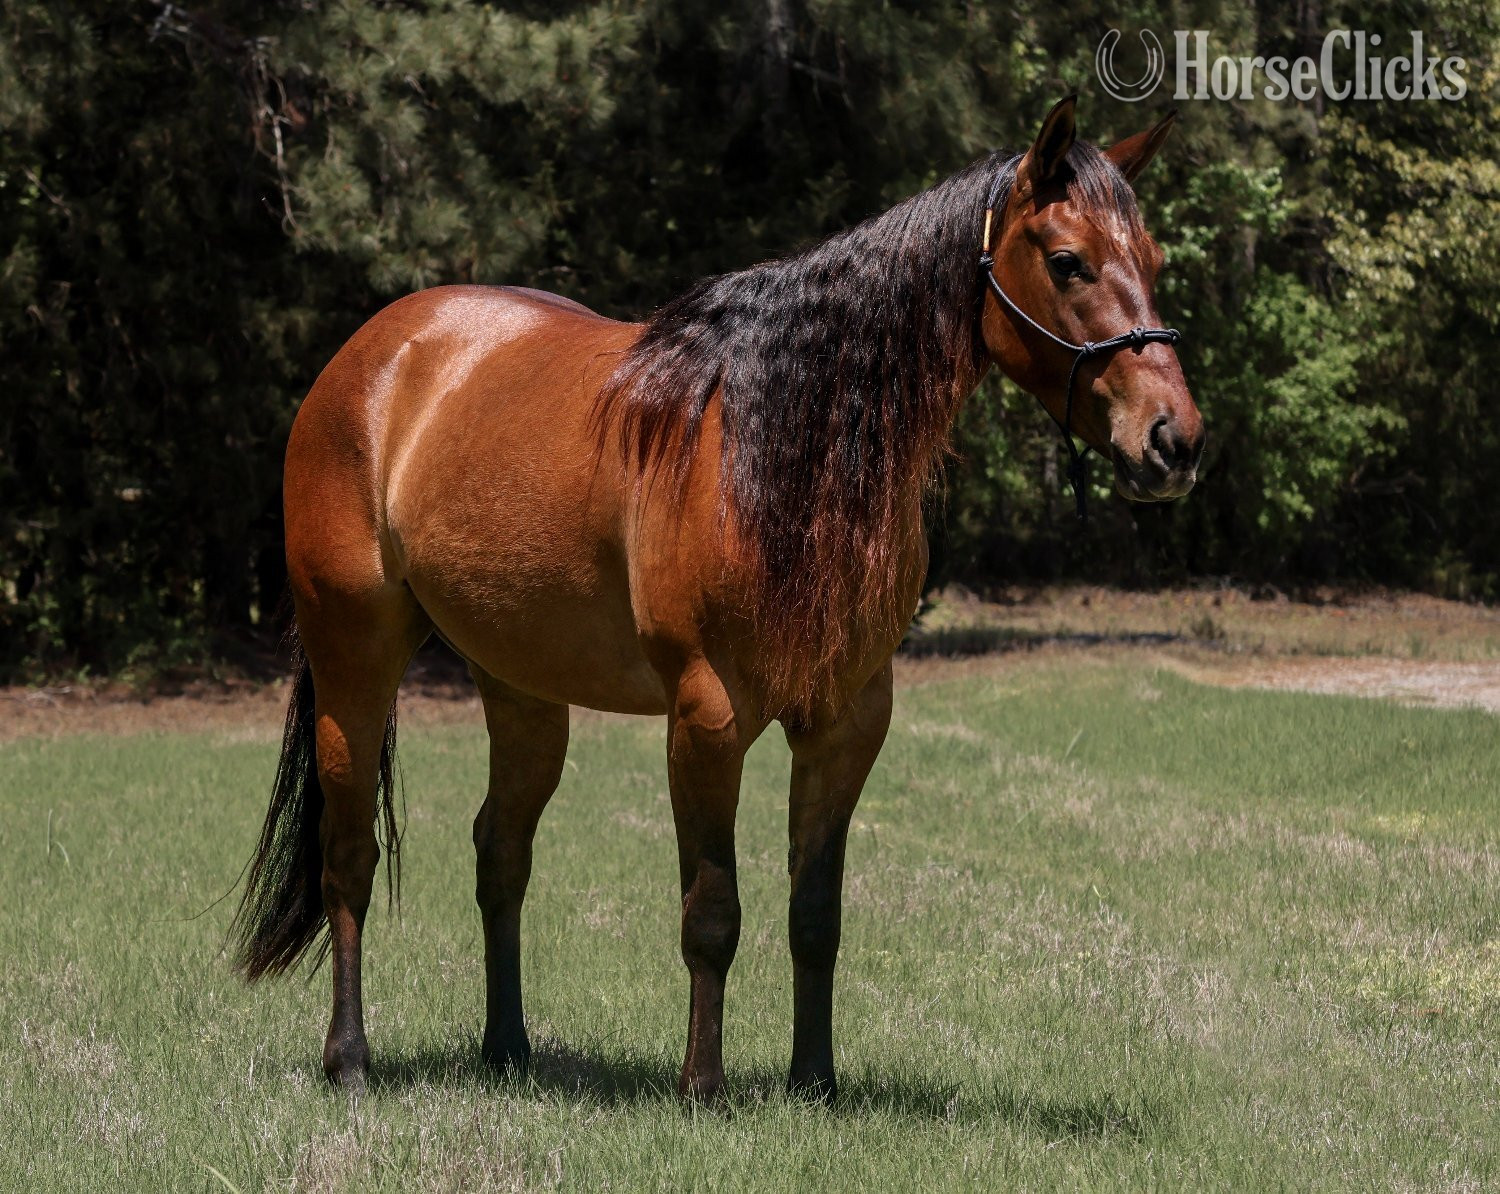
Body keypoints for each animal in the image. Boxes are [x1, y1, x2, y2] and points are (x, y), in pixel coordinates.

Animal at [231, 96, 1204, 1103]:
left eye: (1154, 260)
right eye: (1067, 261)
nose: (1174, 442)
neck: (777, 452)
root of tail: (374, 353)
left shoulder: (846, 719)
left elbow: (816, 914)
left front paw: (814, 1081)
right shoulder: (707, 716)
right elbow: (712, 913)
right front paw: (703, 1085)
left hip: (523, 691)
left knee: (500, 854)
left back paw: (508, 1049)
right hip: (355, 660)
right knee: (349, 859)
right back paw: (350, 1060)